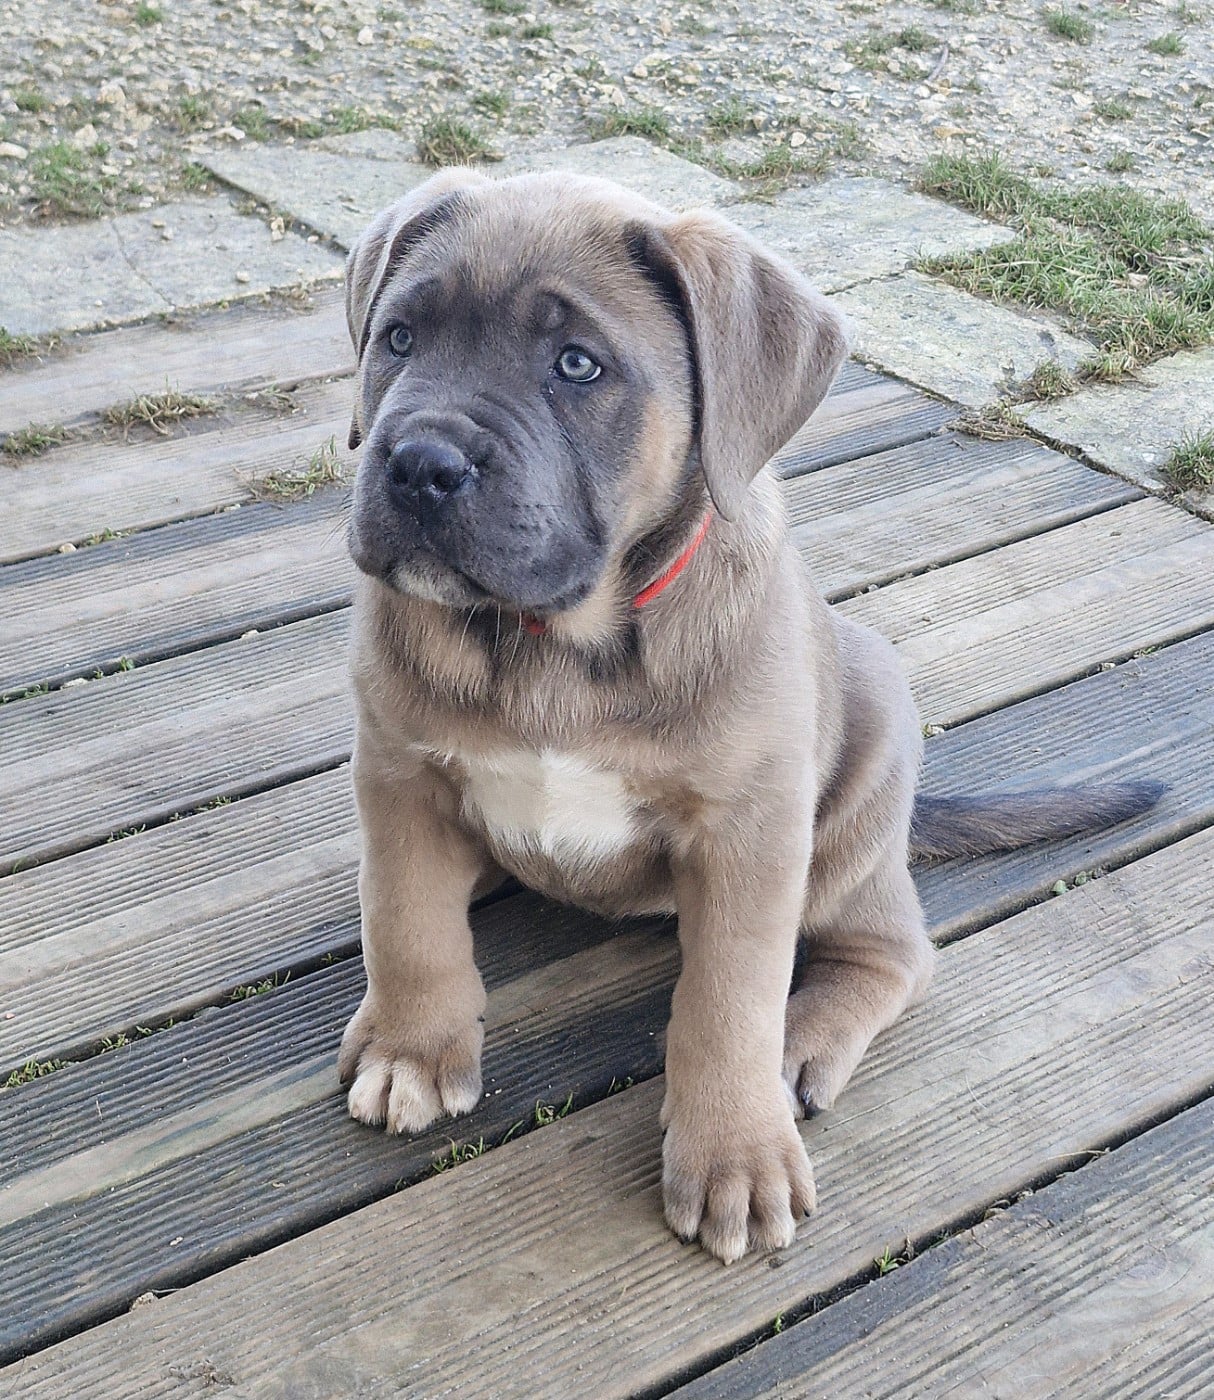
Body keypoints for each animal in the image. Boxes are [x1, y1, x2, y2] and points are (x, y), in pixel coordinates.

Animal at [336, 167, 1159, 1264]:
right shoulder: (399, 772)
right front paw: (412, 1045)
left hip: (851, 806)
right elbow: (406, 921)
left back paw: (799, 1047)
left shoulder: (749, 833)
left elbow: (727, 998)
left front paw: (733, 1146)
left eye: (576, 365)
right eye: (397, 339)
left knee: (890, 952)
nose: (420, 463)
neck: (557, 642)